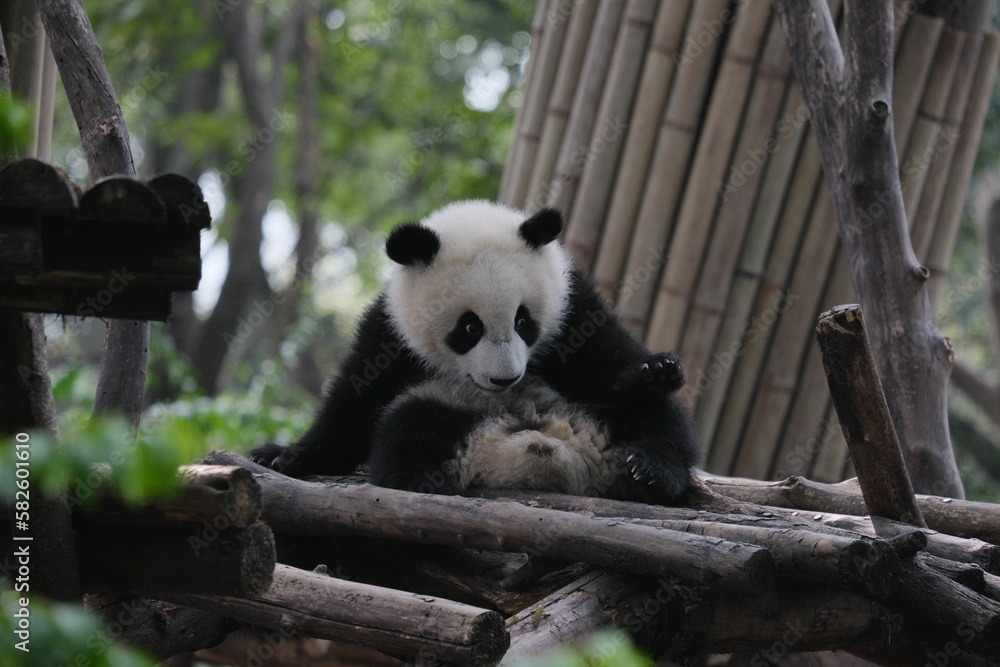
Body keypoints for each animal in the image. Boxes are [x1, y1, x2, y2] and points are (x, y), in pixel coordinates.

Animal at [249, 200, 699, 504]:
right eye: (469, 328)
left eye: (523, 321)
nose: (506, 379)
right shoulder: (391, 334)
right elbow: (356, 405)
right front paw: (284, 456)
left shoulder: (572, 308)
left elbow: (607, 360)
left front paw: (657, 369)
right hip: (444, 411)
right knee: (409, 424)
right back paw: (421, 478)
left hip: (595, 416)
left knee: (658, 418)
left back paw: (650, 471)